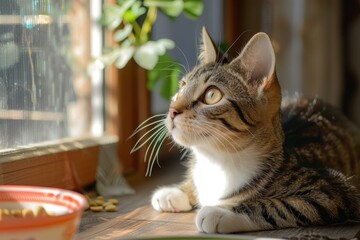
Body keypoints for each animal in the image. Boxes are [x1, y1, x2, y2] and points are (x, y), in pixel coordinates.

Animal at [144, 27, 360, 232]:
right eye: (181, 87)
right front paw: (177, 191)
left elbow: (279, 206)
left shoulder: (331, 192)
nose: (172, 110)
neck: (216, 160)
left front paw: (221, 213)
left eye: (211, 95)